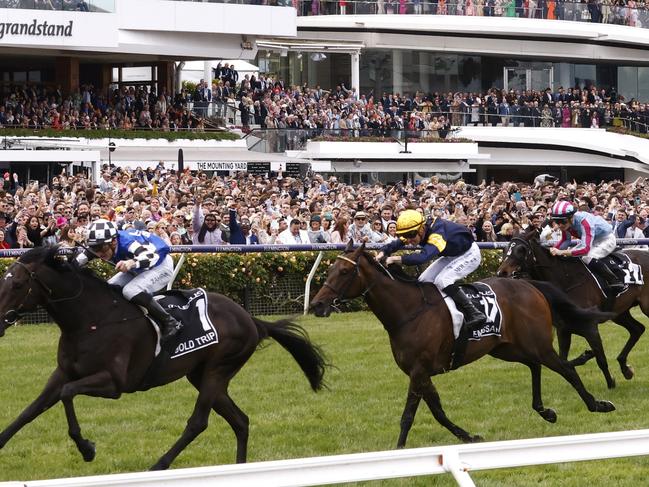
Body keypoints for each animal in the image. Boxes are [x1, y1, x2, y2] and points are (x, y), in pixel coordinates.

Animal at [0, 250, 326, 470]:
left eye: (17, 285)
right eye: (3, 281)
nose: (0, 321)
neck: (91, 320)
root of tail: (251, 319)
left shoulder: (113, 383)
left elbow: (68, 394)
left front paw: (87, 449)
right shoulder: (62, 372)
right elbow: (30, 410)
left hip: (217, 370)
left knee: (198, 423)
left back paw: (158, 465)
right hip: (202, 375)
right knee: (240, 421)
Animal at [312, 242, 616, 448]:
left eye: (344, 271)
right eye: (331, 269)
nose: (316, 304)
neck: (408, 311)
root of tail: (532, 285)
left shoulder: (419, 371)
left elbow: (409, 415)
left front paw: (398, 450)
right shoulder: (421, 373)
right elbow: (438, 411)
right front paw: (469, 436)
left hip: (537, 343)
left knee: (566, 368)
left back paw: (597, 404)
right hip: (506, 347)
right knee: (534, 366)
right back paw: (545, 411)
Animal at [496, 231, 648, 390]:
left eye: (521, 250)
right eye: (505, 249)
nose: (502, 272)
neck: (566, 281)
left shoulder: (590, 327)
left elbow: (600, 358)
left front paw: (610, 382)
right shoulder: (564, 329)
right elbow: (563, 359)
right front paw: (586, 358)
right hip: (619, 313)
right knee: (637, 329)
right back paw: (625, 367)